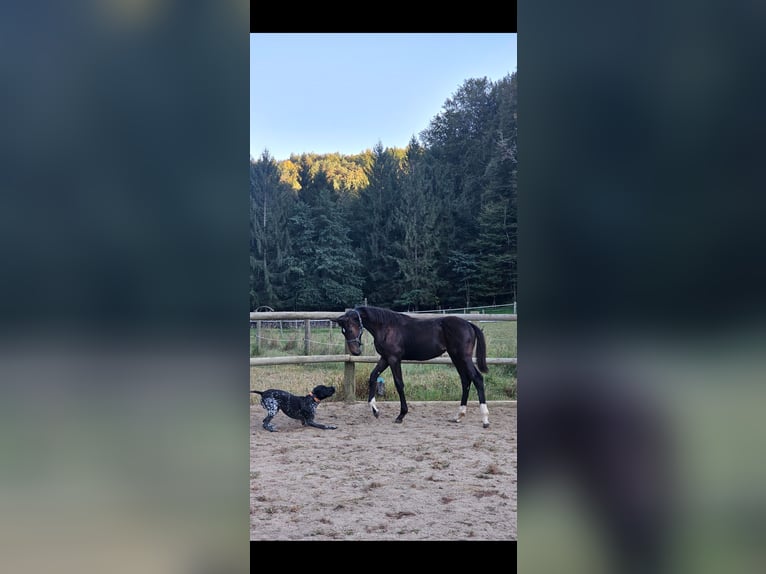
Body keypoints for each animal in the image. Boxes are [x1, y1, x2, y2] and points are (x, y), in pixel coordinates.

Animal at [334, 308, 492, 430]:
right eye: (343, 331)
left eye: (350, 329)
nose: (355, 352)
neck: (386, 327)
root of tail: (469, 325)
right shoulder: (385, 358)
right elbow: (373, 377)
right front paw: (375, 410)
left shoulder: (394, 359)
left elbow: (399, 384)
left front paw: (401, 415)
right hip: (456, 358)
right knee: (465, 381)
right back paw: (458, 416)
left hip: (463, 357)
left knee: (477, 379)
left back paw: (485, 420)